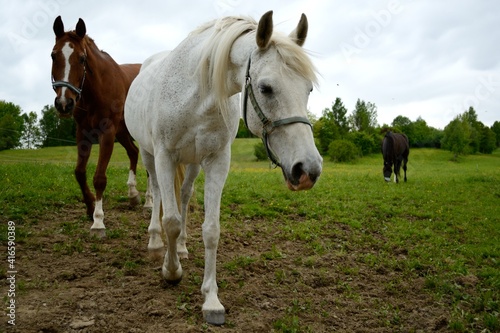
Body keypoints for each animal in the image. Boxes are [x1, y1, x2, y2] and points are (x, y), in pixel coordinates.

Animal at [50, 16, 186, 239]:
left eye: (82, 58)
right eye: (53, 55)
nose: (64, 103)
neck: (97, 88)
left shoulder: (107, 133)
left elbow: (99, 178)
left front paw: (98, 222)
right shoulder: (83, 133)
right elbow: (79, 172)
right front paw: (90, 207)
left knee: (149, 169)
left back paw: (148, 201)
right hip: (123, 133)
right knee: (134, 152)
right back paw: (133, 194)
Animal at [123, 11, 322, 324]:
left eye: (308, 89)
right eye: (266, 88)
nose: (308, 169)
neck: (195, 94)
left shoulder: (217, 160)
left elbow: (211, 230)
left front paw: (211, 299)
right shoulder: (165, 156)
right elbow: (171, 220)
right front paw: (171, 271)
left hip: (193, 163)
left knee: (185, 195)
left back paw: (181, 247)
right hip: (148, 154)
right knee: (156, 193)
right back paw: (156, 244)